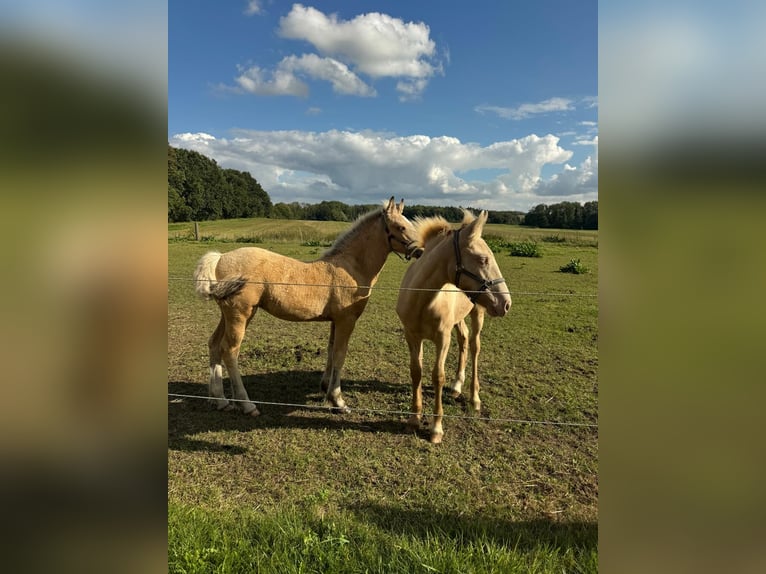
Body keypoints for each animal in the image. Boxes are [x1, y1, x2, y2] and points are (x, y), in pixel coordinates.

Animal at [193, 197, 421, 416]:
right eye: (400, 227)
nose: (420, 251)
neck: (350, 267)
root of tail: (220, 258)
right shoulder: (346, 320)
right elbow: (340, 354)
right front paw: (338, 401)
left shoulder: (335, 321)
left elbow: (331, 351)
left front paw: (326, 390)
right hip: (241, 314)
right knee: (230, 350)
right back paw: (247, 405)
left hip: (227, 314)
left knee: (214, 344)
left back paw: (220, 400)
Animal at [395, 210, 511, 443]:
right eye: (483, 259)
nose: (506, 303)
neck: (422, 300)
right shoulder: (412, 336)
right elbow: (416, 372)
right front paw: (413, 419)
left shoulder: (443, 338)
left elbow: (437, 376)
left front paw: (436, 429)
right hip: (458, 320)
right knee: (464, 339)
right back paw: (457, 385)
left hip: (478, 313)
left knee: (474, 346)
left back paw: (474, 398)